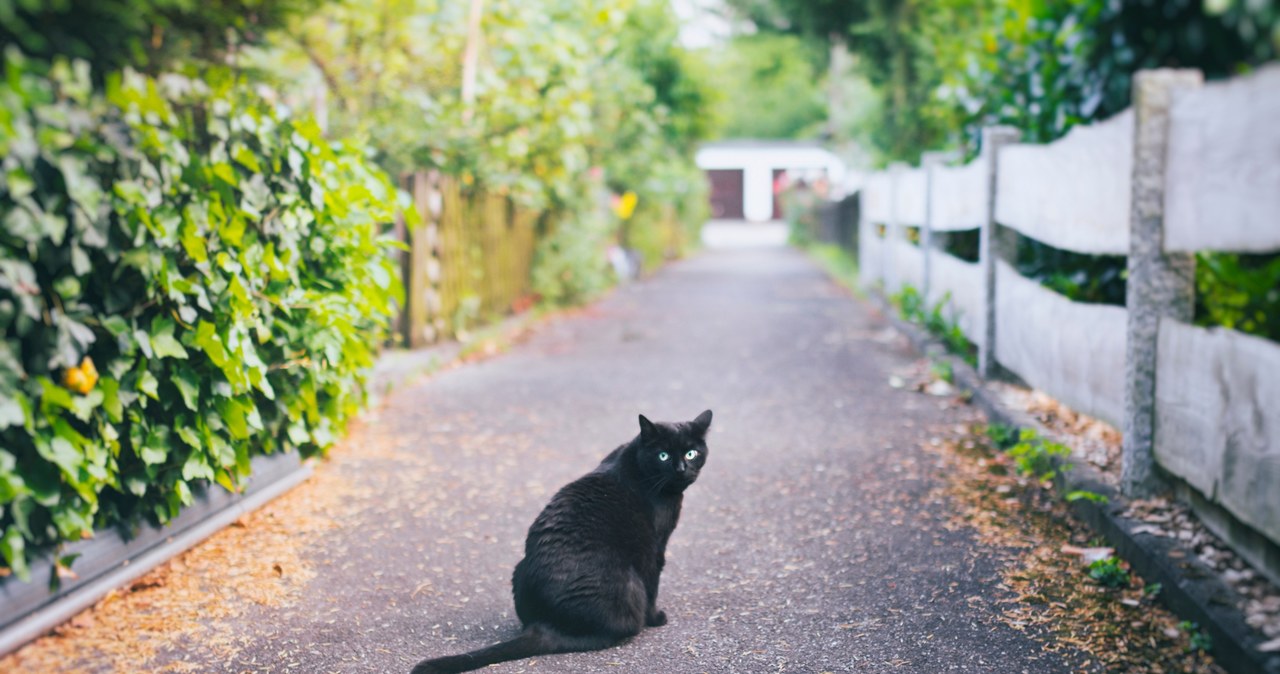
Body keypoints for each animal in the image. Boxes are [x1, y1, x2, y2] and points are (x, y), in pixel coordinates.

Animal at [409, 409, 711, 670]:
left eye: (691, 453)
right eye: (663, 455)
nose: (682, 468)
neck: (636, 463)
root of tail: (546, 622)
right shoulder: (655, 548)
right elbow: (654, 587)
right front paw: (656, 619)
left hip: (518, 569)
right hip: (629, 583)